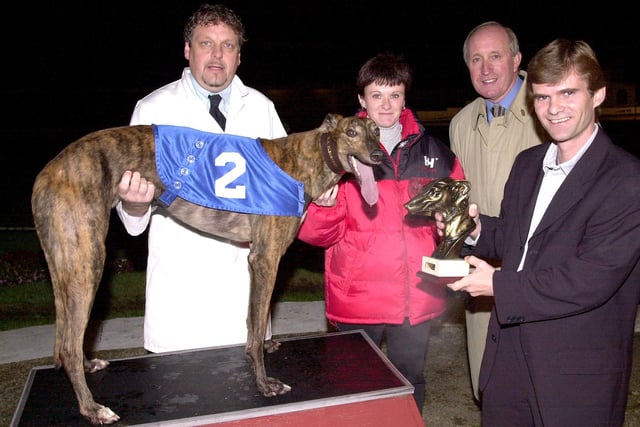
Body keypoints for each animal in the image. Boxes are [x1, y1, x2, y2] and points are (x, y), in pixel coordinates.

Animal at [30, 113, 382, 424]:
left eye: (376, 130)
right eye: (351, 132)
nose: (379, 155)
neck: (305, 159)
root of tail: (47, 172)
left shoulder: (259, 260)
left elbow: (255, 321)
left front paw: (264, 347)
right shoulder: (265, 258)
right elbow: (256, 326)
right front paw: (264, 383)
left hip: (65, 260)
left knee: (66, 338)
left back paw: (88, 368)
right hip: (87, 260)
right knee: (69, 346)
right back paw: (92, 409)